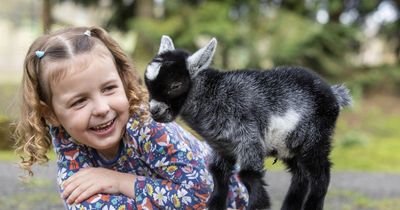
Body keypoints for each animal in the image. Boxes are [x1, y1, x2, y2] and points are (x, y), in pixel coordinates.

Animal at [144, 36, 350, 210]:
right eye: (147, 81)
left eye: (175, 85)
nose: (155, 111)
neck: (215, 95)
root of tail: (334, 94)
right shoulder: (222, 147)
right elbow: (218, 175)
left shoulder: (249, 138)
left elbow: (249, 175)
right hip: (290, 144)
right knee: (301, 177)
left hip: (315, 137)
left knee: (320, 175)